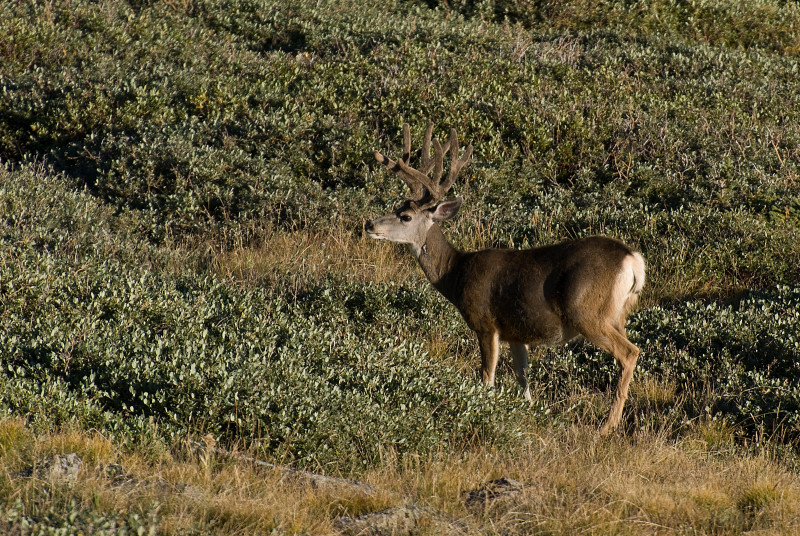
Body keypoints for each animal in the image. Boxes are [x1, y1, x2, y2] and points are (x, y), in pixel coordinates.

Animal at [366, 119, 648, 434]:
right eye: (395, 207)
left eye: (405, 216)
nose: (369, 224)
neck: (456, 273)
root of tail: (632, 260)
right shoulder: (516, 333)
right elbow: (523, 379)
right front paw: (526, 414)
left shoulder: (486, 323)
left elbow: (486, 378)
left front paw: (485, 412)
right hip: (619, 315)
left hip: (587, 313)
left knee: (630, 353)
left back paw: (607, 427)